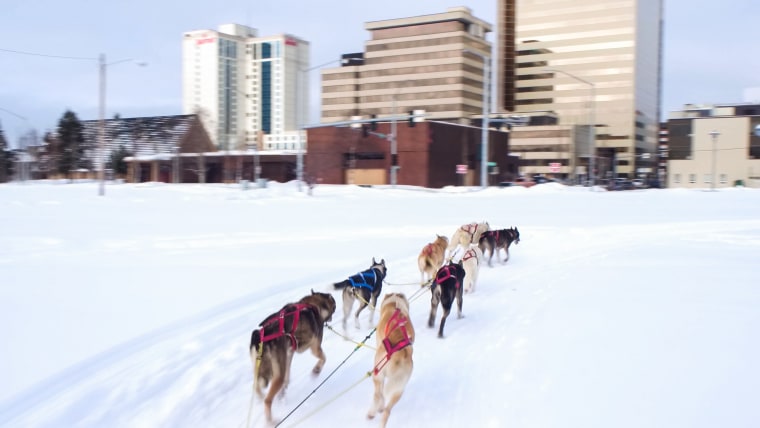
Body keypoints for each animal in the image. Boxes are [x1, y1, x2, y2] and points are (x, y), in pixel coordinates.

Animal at [249, 290, 336, 422]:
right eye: (334, 306)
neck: (312, 304)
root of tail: (260, 336)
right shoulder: (315, 348)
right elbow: (323, 358)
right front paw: (316, 370)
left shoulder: (289, 354)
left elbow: (287, 376)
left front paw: (283, 393)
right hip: (276, 375)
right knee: (267, 400)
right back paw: (271, 421)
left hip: (263, 369)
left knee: (257, 387)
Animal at [366, 292, 412, 426]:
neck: (395, 303)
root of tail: (401, 354)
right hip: (399, 389)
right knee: (387, 411)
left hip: (377, 373)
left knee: (378, 395)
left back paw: (372, 412)